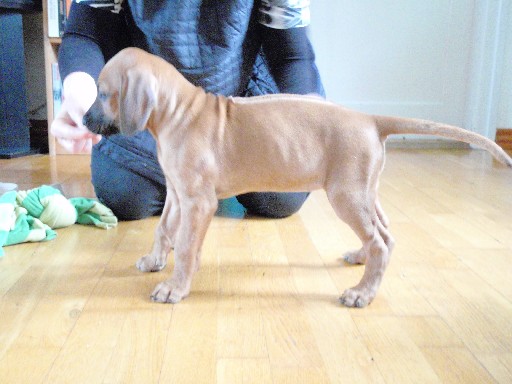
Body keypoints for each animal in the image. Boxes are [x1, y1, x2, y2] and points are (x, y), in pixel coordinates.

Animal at [84, 48, 512, 308]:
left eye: (103, 94)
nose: (84, 121)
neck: (179, 111)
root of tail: (370, 119)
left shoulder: (197, 201)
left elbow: (187, 247)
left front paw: (176, 286)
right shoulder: (176, 194)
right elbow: (163, 229)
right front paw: (155, 260)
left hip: (345, 195)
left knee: (379, 241)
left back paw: (362, 293)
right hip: (364, 191)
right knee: (385, 235)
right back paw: (361, 258)